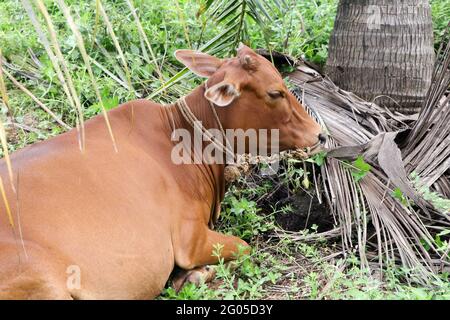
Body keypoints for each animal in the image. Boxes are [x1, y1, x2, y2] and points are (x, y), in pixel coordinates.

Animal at [0, 43, 324, 298]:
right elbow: (244, 246)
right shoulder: (190, 240)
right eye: (275, 92)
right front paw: (194, 275)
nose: (320, 134)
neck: (182, 140)